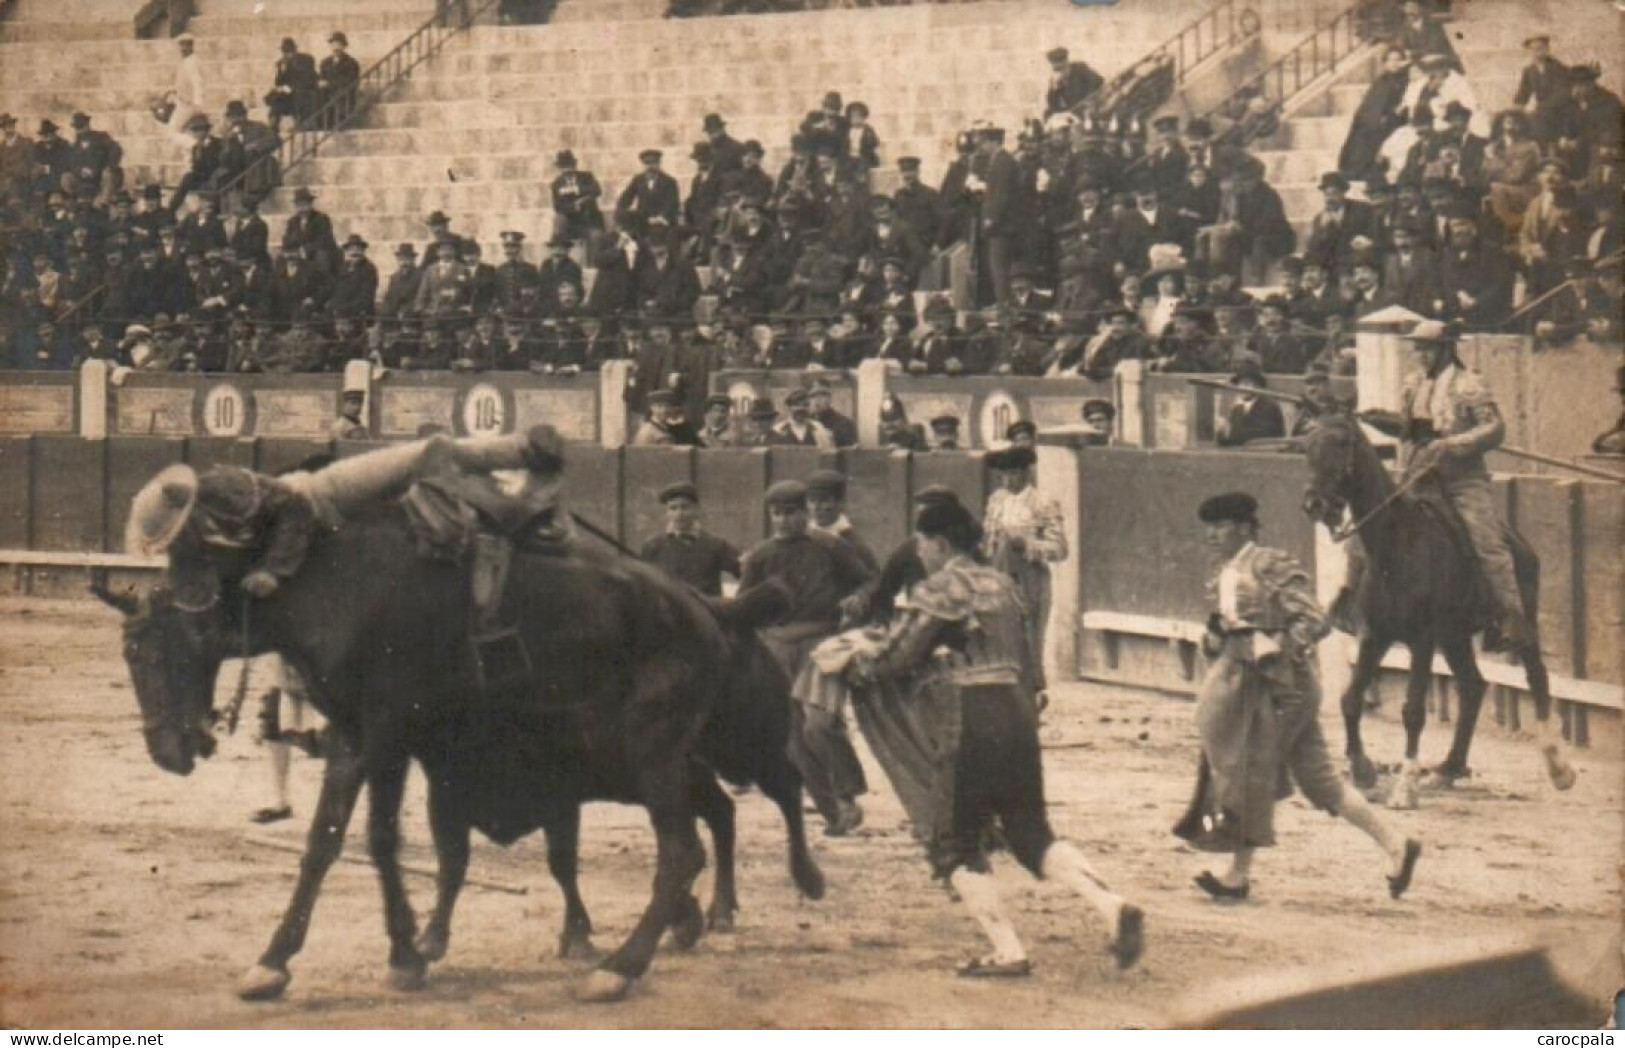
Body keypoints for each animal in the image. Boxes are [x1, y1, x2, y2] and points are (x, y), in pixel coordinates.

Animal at [93, 503, 825, 1000]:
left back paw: (627, 964)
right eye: (127, 654)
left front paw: (370, 955)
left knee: (707, 833)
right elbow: (345, 841)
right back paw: (695, 921)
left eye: (150, 651)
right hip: (671, 759)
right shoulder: (367, 739)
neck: (330, 588)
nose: (168, 751)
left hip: (669, 751)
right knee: (717, 821)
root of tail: (710, 611)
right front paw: (311, 959)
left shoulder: (382, 735)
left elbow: (361, 838)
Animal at [1300, 409, 1566, 802]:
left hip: (1522, 622)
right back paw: (1449, 768)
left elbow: (1412, 710)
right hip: (1454, 637)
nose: (1316, 505)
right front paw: (1362, 770)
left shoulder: (1422, 641)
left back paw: (1558, 767)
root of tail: (1521, 544)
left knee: (1537, 676)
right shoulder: (1374, 636)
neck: (1394, 547)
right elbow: (1350, 700)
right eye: (1307, 444)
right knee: (1472, 686)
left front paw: (1404, 786)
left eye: (1342, 442)